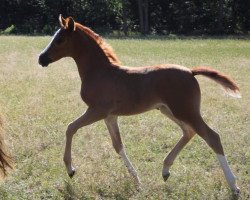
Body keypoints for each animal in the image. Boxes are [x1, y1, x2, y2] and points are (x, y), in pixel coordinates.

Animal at [38, 15, 240, 194]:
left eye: (60, 39)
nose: (41, 58)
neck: (100, 72)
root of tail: (191, 72)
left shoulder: (97, 111)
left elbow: (70, 128)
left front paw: (71, 169)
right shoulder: (110, 116)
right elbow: (118, 145)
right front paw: (137, 180)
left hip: (185, 110)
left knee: (212, 136)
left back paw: (234, 186)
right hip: (168, 110)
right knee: (189, 132)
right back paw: (165, 170)